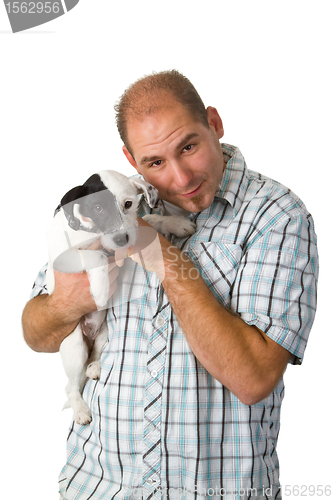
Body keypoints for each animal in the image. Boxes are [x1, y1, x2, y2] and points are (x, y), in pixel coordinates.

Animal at [45, 170, 196, 424]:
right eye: (97, 208)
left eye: (128, 204)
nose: (121, 240)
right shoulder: (64, 257)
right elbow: (95, 255)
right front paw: (100, 289)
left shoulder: (133, 227)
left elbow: (149, 221)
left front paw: (176, 223)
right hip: (74, 345)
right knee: (70, 387)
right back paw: (81, 409)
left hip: (104, 333)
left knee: (94, 355)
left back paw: (95, 367)